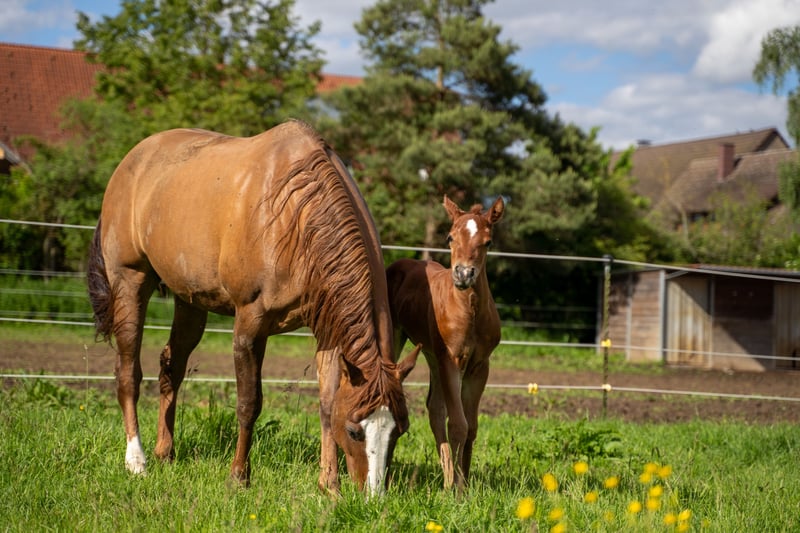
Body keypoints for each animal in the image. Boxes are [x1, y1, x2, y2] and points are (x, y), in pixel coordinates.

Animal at [87, 120, 420, 496]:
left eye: (399, 430)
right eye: (354, 431)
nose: (373, 497)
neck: (295, 215)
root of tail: (132, 159)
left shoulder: (329, 331)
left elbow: (326, 402)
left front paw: (329, 485)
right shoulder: (250, 323)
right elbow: (249, 403)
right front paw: (239, 477)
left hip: (189, 300)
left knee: (171, 366)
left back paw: (165, 452)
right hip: (130, 281)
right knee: (128, 371)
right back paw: (137, 461)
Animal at [386, 195, 504, 492]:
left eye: (488, 242)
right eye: (450, 237)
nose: (463, 274)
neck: (469, 311)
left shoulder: (479, 366)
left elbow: (471, 426)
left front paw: (464, 481)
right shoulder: (451, 359)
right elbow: (459, 424)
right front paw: (458, 491)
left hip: (431, 356)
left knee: (435, 410)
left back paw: (448, 476)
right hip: (401, 339)